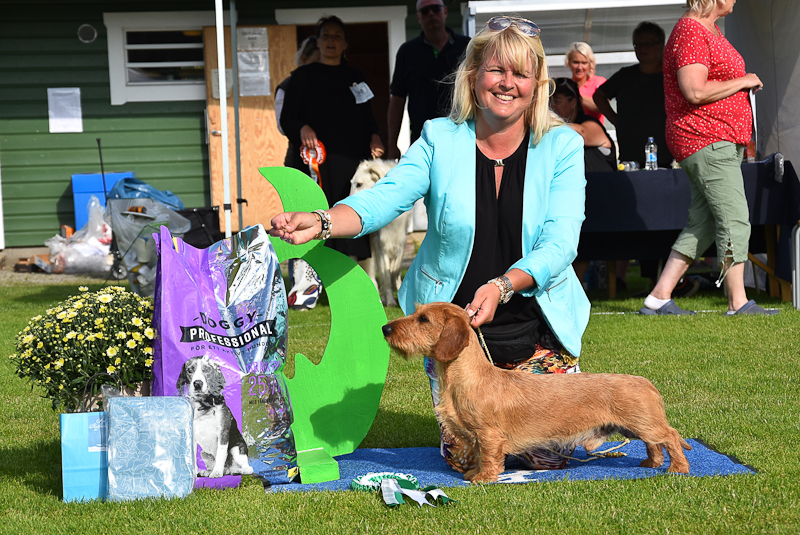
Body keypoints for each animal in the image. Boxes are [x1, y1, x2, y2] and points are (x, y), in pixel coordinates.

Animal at [350, 159, 410, 307]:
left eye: (359, 184)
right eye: (352, 184)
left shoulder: (400, 240)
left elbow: (395, 270)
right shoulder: (381, 243)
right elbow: (386, 276)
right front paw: (390, 300)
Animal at [382, 303, 692, 483]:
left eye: (424, 319)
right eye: (416, 312)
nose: (385, 328)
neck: (468, 377)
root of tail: (645, 382)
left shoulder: (489, 434)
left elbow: (489, 457)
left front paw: (484, 478)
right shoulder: (477, 436)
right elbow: (480, 455)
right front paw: (474, 472)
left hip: (645, 423)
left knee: (671, 436)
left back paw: (678, 468)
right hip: (638, 426)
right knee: (655, 444)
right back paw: (652, 463)